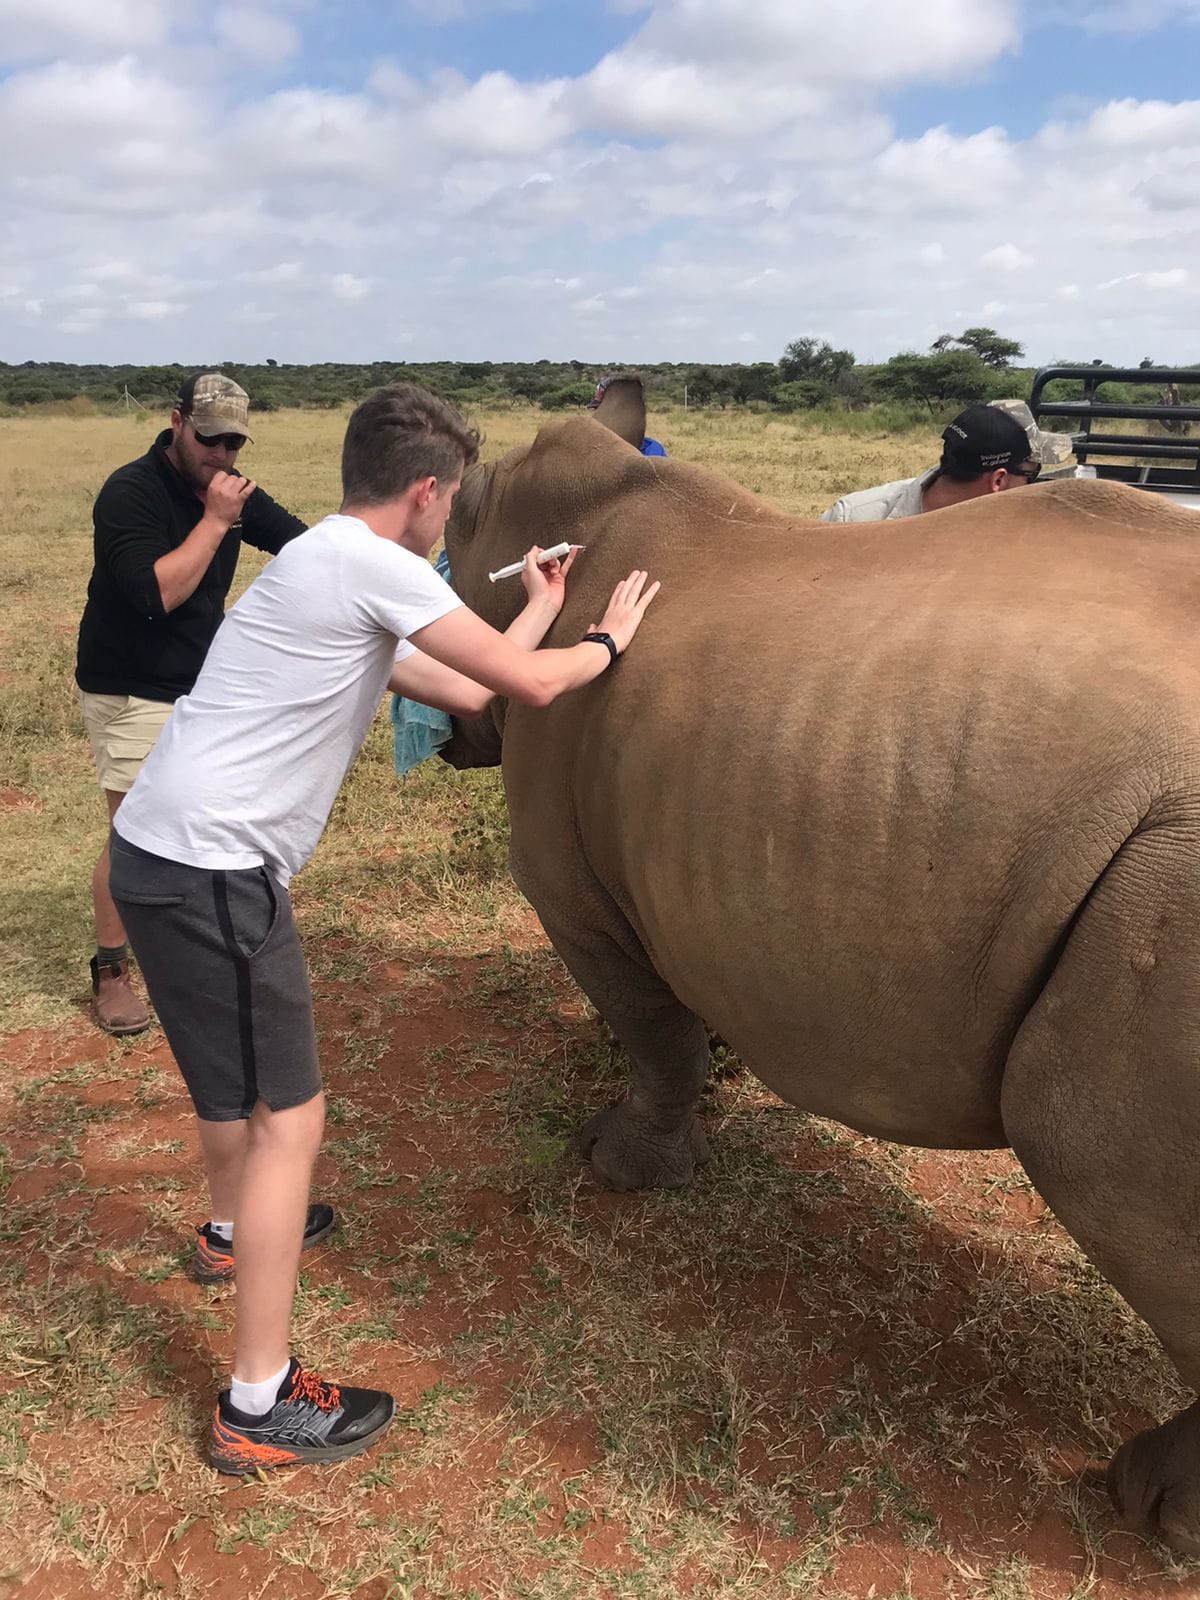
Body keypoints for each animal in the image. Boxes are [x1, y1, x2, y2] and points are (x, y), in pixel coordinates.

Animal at [438, 386, 1200, 1555]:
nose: (437, 736)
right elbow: (682, 1014)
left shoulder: (574, 888)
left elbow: (648, 1023)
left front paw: (618, 1167)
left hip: (1173, 884)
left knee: (1088, 1150)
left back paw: (1144, 1510)